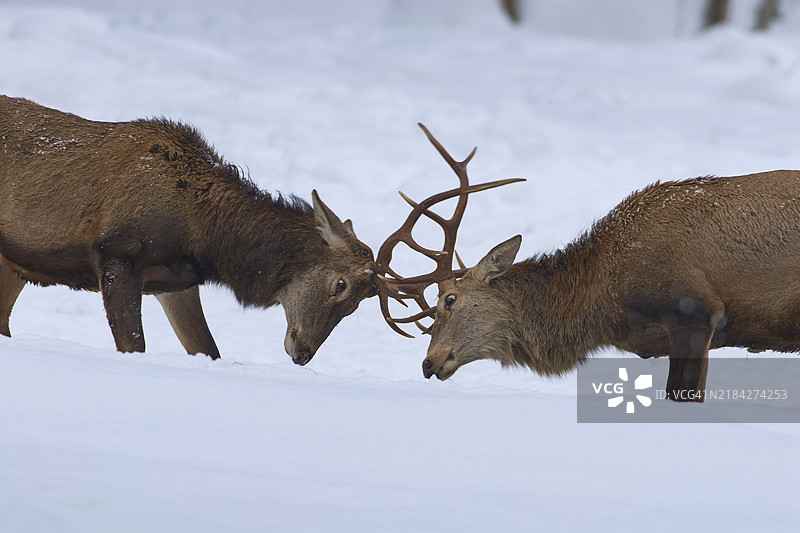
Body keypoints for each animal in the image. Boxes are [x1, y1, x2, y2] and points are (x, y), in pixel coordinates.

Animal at [0, 95, 377, 364]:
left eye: (359, 304)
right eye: (341, 284)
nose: (303, 354)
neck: (204, 237)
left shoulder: (176, 282)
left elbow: (207, 350)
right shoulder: (116, 253)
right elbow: (134, 346)